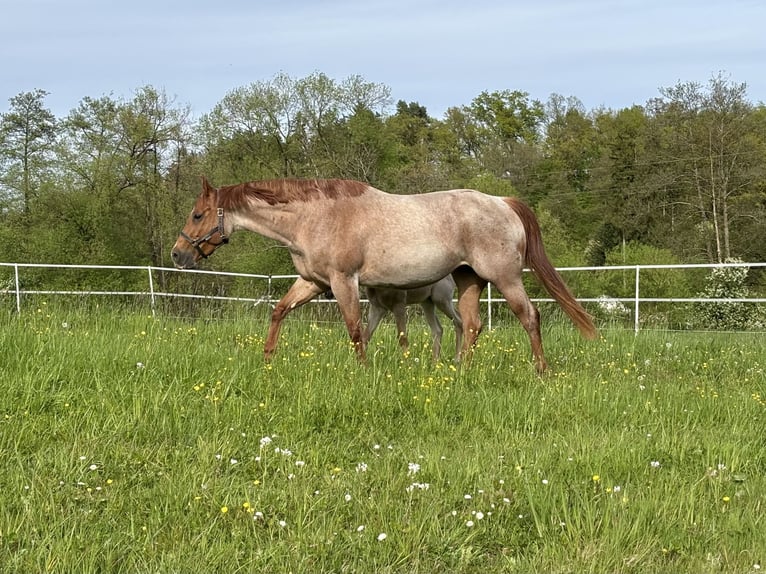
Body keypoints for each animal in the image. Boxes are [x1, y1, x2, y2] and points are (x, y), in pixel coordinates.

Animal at [171, 177, 597, 373]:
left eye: (197, 214)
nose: (178, 254)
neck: (314, 217)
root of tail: (502, 202)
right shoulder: (313, 283)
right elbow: (279, 311)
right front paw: (268, 359)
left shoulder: (344, 282)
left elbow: (356, 329)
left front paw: (362, 371)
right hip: (468, 280)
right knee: (472, 325)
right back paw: (459, 371)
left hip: (506, 279)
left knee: (529, 316)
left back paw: (541, 371)